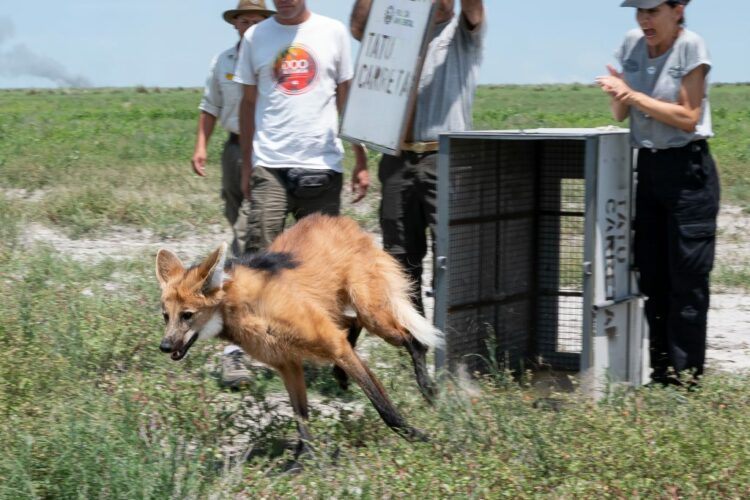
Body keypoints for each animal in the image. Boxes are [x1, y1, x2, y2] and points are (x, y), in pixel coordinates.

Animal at [155, 213, 444, 448]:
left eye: (187, 315)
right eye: (166, 316)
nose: (165, 346)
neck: (242, 309)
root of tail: (340, 220)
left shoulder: (329, 344)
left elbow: (383, 406)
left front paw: (419, 437)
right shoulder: (287, 363)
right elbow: (301, 419)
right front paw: (303, 462)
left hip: (372, 313)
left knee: (411, 340)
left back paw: (427, 388)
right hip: (337, 311)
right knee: (352, 324)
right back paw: (341, 375)